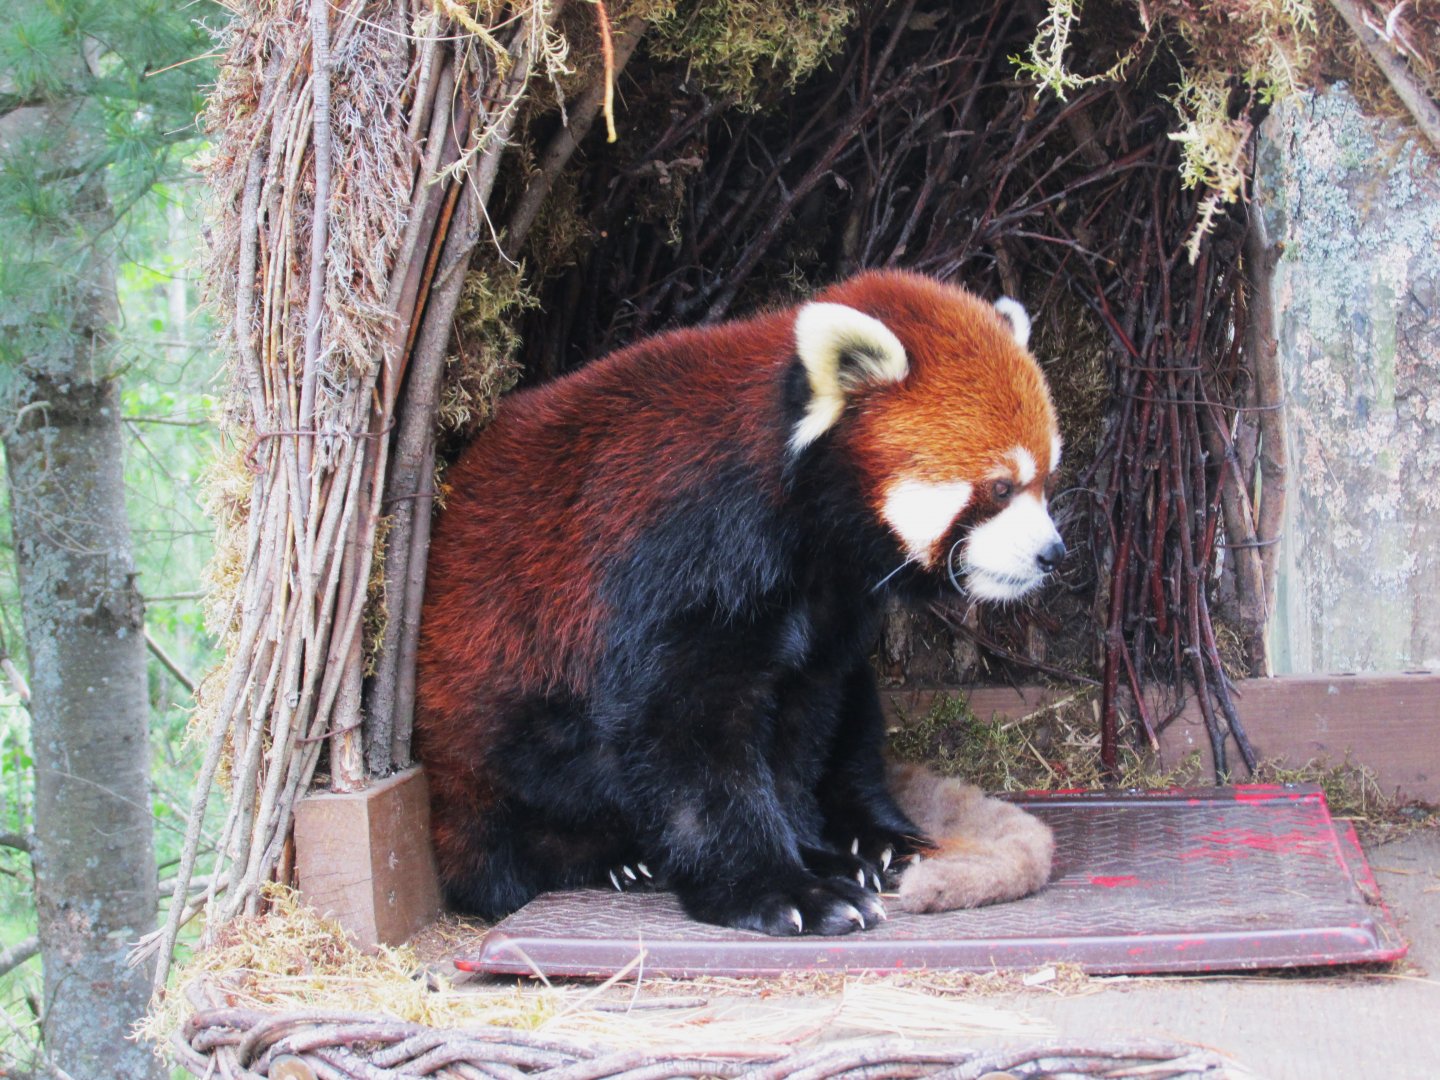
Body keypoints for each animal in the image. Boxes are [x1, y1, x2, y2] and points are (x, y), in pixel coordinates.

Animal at [415, 269, 1063, 936]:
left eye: (1045, 481)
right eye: (1000, 488)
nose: (1052, 554)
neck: (803, 526)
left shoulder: (826, 610)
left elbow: (798, 734)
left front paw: (816, 853)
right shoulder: (679, 559)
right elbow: (690, 740)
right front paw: (785, 888)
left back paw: (878, 838)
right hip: (485, 728)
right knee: (505, 833)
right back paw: (613, 858)